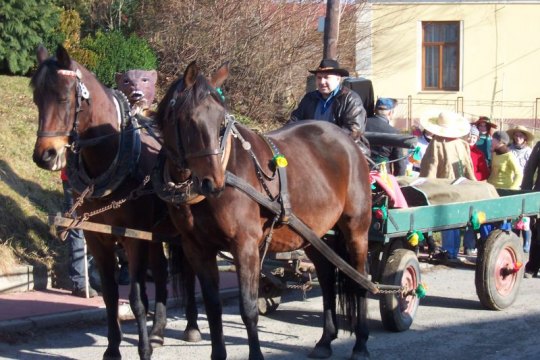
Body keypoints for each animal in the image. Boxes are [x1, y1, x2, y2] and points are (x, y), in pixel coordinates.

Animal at [29, 45, 200, 360]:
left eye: (63, 97)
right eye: (37, 98)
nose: (45, 155)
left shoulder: (132, 238)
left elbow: (136, 298)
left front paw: (143, 350)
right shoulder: (98, 237)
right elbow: (110, 294)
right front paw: (113, 349)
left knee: (190, 271)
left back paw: (191, 327)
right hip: (156, 234)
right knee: (161, 273)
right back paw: (158, 331)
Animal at [152, 60, 372, 358]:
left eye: (221, 123)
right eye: (188, 121)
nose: (213, 182)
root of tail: (349, 143)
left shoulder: (244, 245)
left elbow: (248, 308)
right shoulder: (197, 248)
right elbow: (213, 308)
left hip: (356, 229)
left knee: (360, 279)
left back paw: (361, 343)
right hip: (314, 234)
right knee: (327, 276)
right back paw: (326, 339)